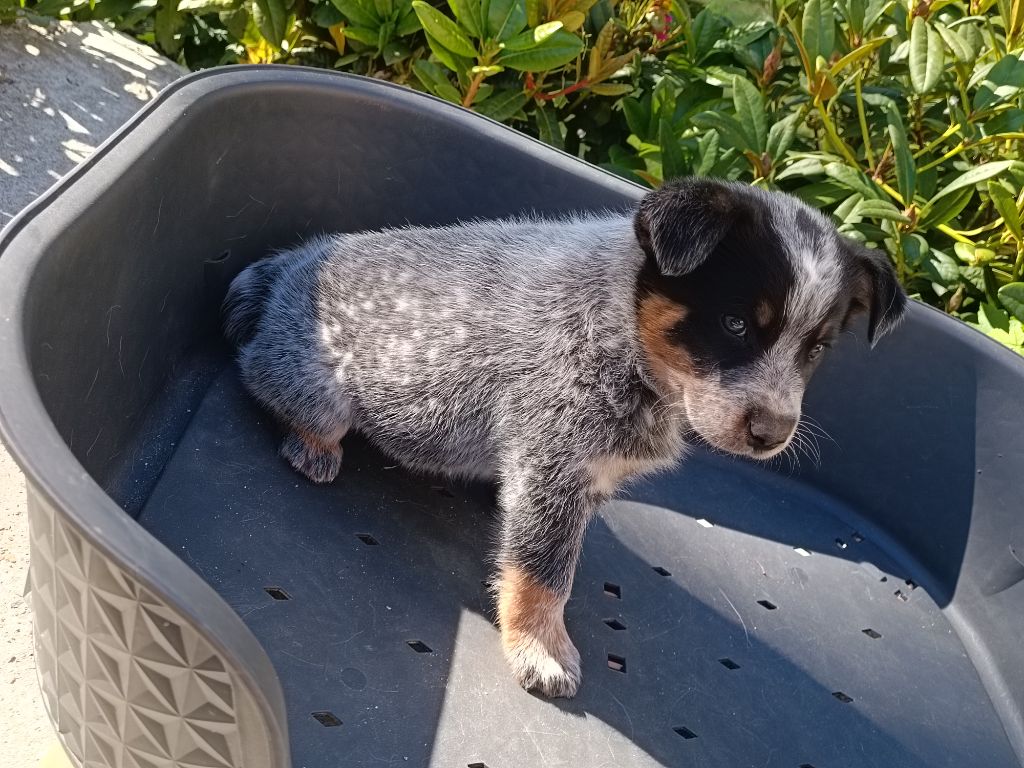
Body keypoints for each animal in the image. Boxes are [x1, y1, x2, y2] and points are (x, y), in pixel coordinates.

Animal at [222, 177, 905, 700]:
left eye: (815, 349)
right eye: (735, 323)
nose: (772, 434)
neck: (625, 334)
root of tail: (294, 261)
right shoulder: (555, 459)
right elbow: (544, 571)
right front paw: (540, 649)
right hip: (317, 390)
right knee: (258, 373)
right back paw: (313, 446)